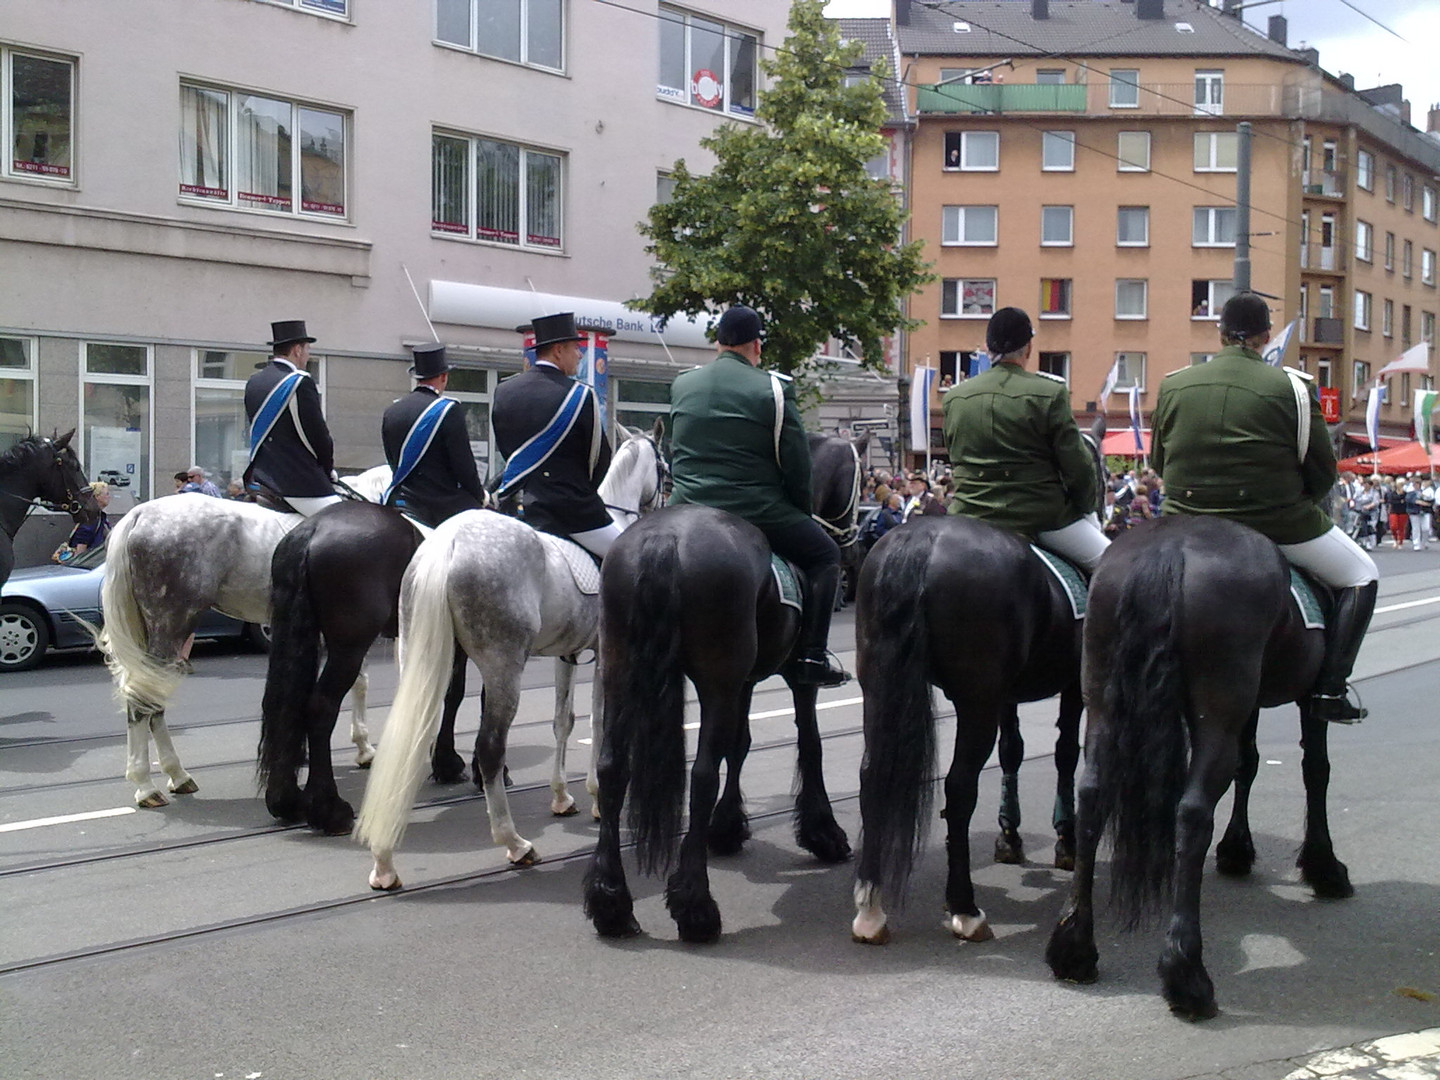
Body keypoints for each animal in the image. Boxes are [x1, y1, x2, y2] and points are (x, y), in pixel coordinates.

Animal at [587, 434, 864, 944]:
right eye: (856, 479)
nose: (853, 548)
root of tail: (664, 538)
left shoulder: (744, 681)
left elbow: (741, 744)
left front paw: (727, 827)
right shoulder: (789, 680)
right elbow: (809, 743)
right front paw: (823, 832)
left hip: (619, 671)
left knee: (614, 768)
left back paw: (610, 902)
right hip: (714, 682)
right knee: (701, 774)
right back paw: (695, 907)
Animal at [1042, 518, 1342, 1025]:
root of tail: (1169, 547)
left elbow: (1252, 763)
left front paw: (1238, 850)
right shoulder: (1305, 698)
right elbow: (1314, 768)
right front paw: (1323, 867)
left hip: (1101, 700)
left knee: (1092, 798)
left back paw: (1074, 949)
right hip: (1218, 710)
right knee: (1193, 812)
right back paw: (1186, 975)